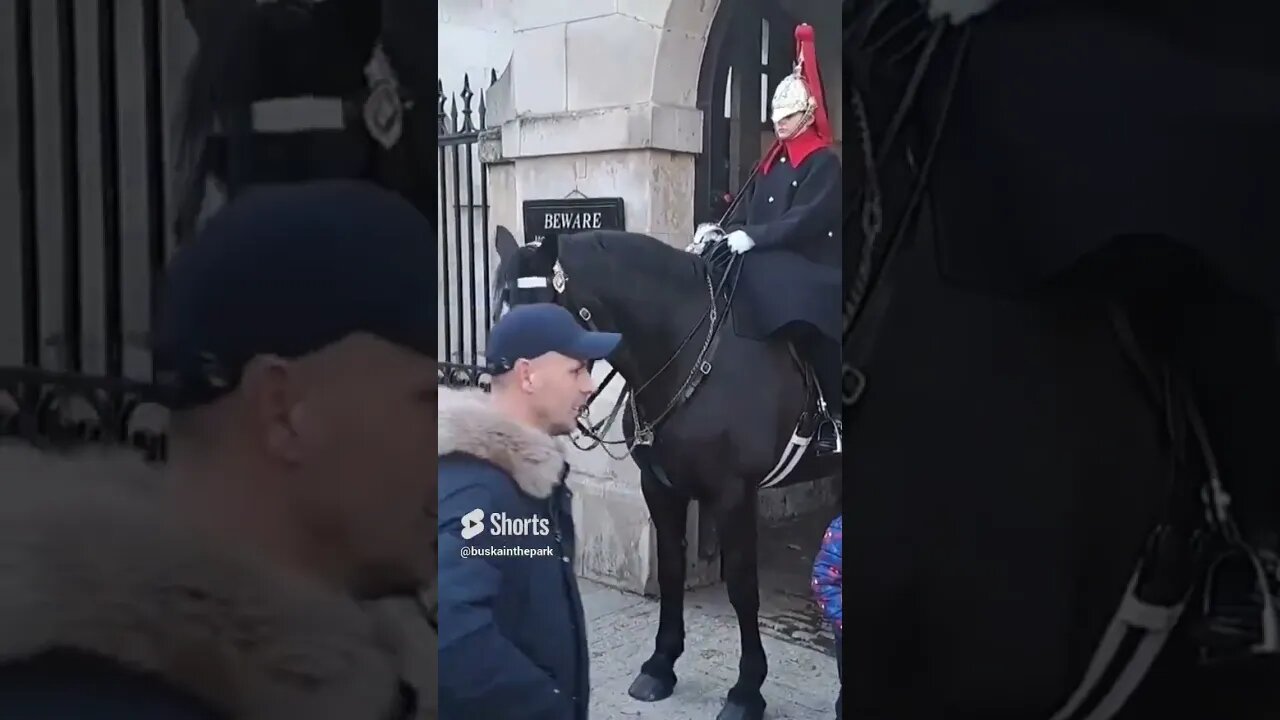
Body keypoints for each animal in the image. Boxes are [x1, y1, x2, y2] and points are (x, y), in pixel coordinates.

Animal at [488, 228, 839, 717]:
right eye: (497, 313)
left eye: (544, 320)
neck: (689, 358)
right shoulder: (659, 487)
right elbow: (671, 571)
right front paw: (660, 665)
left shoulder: (733, 494)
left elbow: (743, 589)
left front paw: (746, 690)